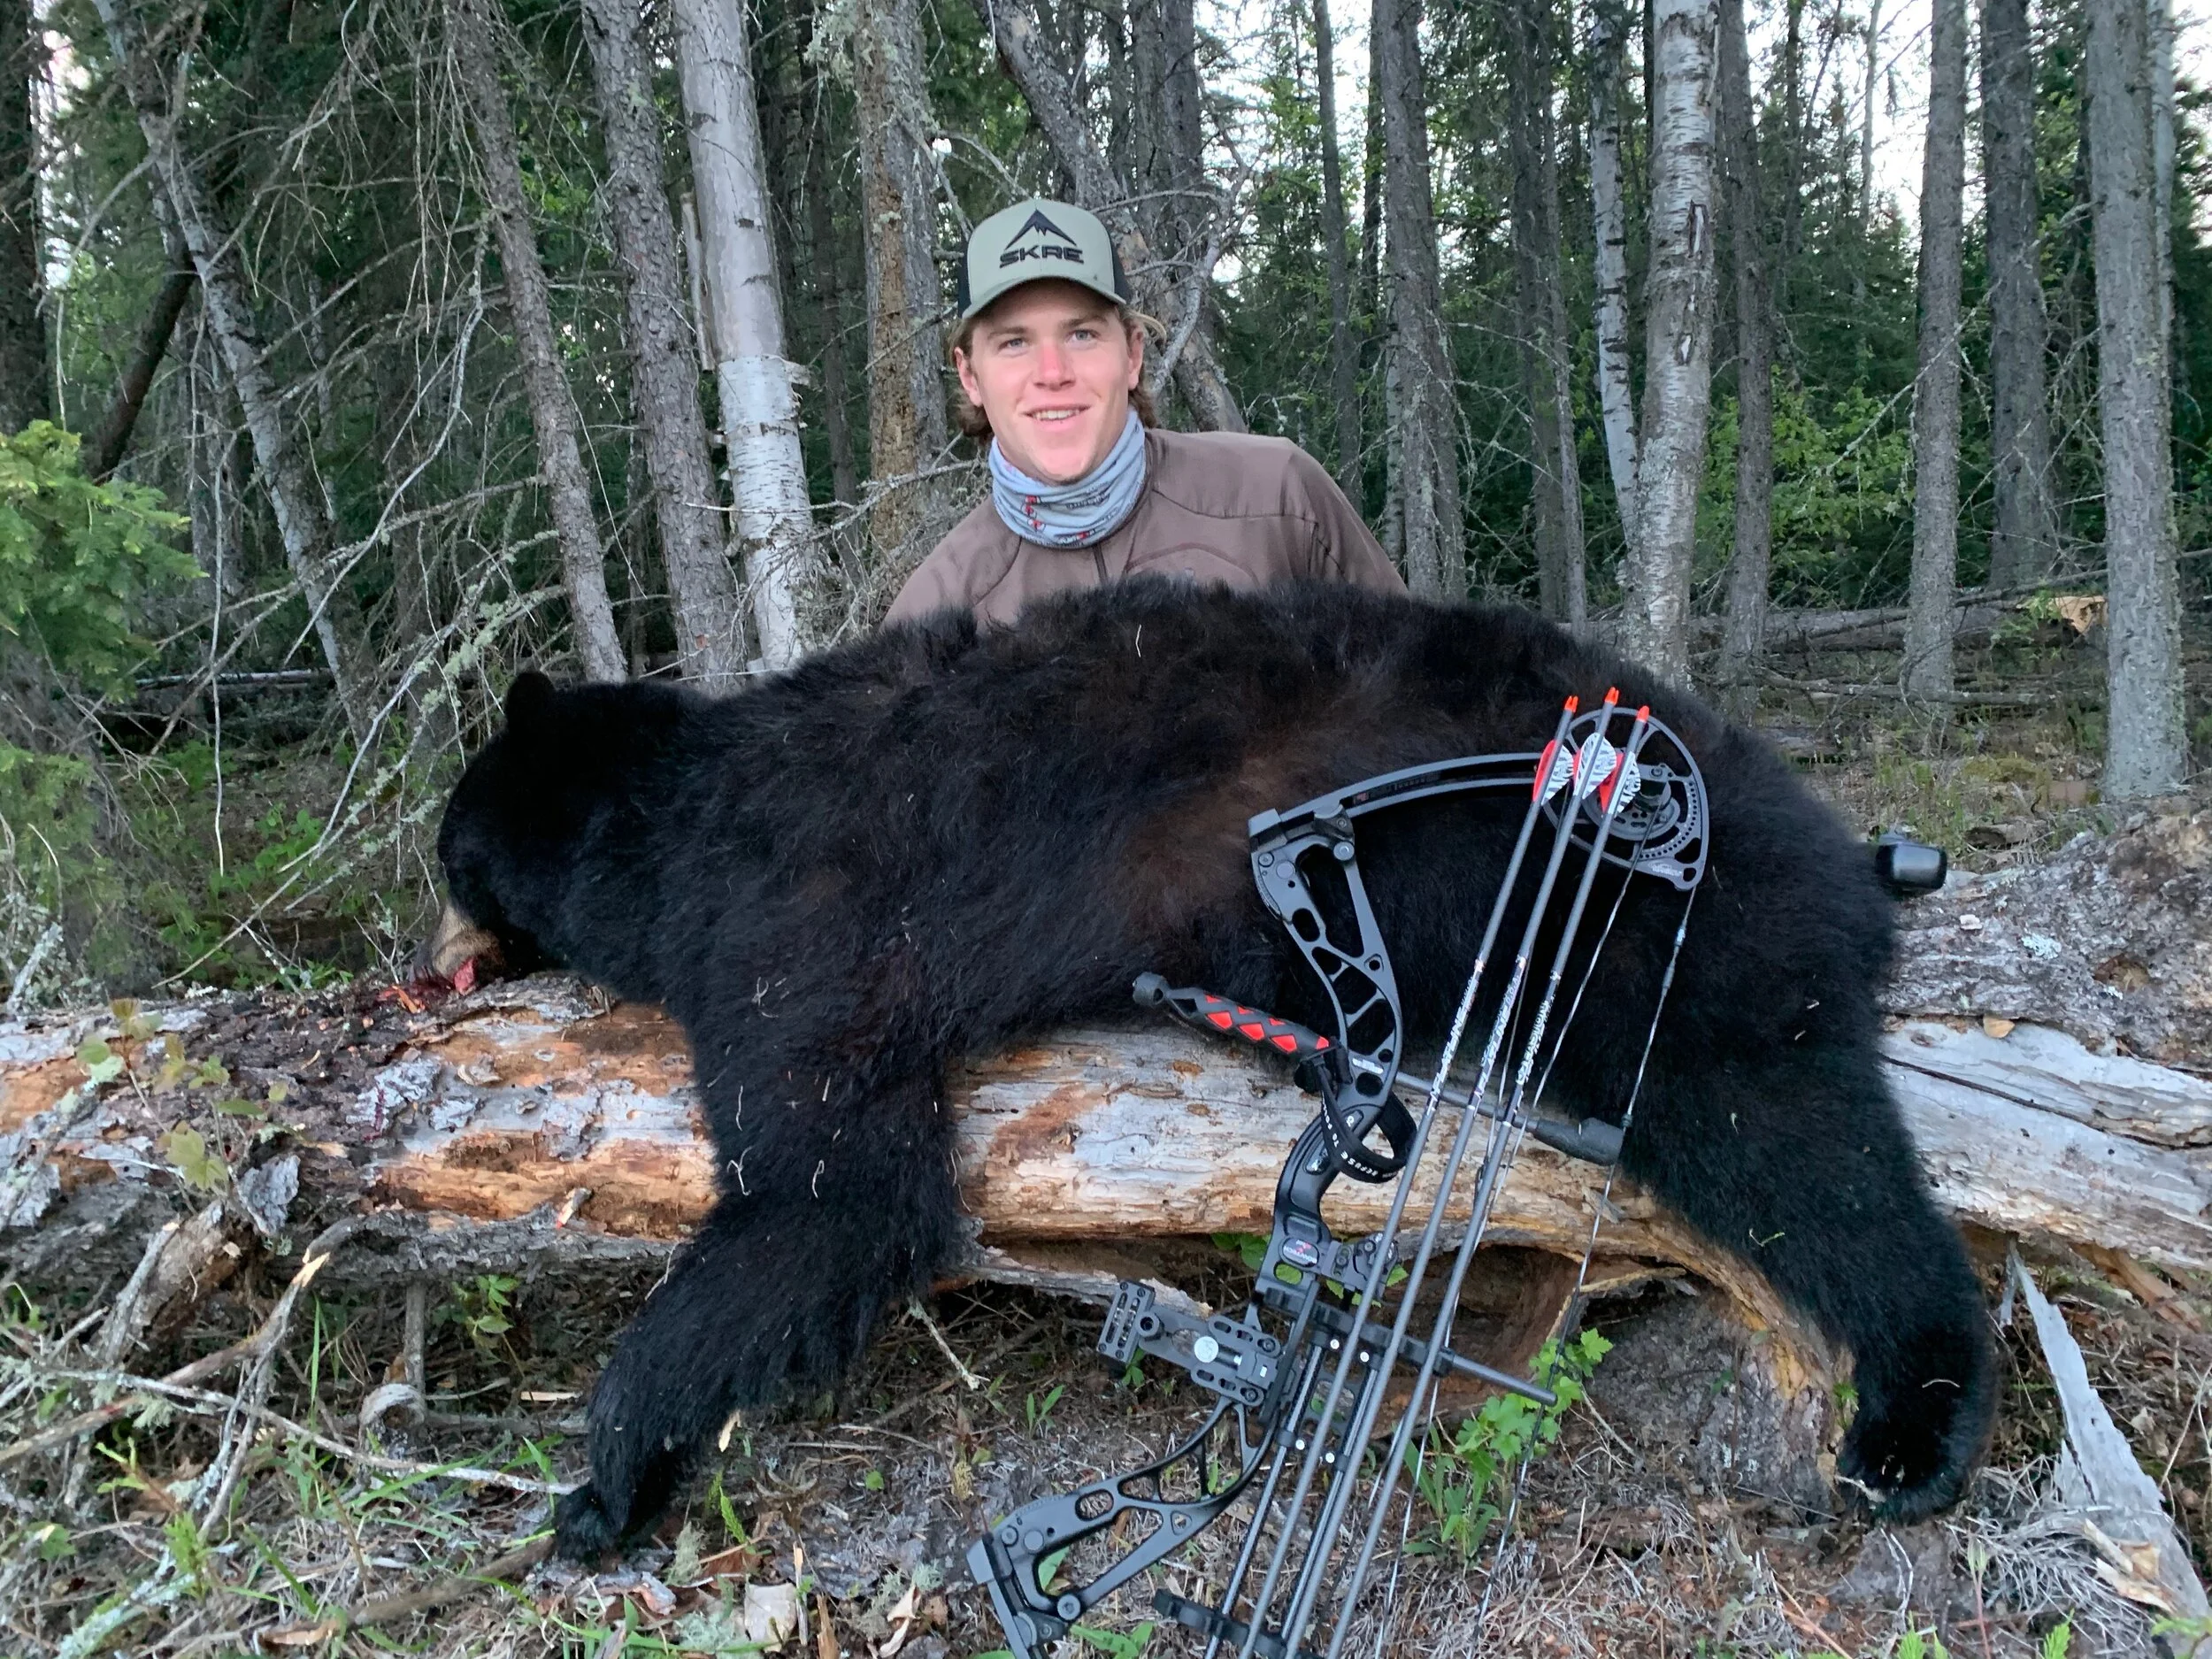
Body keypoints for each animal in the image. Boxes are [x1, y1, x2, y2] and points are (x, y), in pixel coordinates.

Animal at [423, 578, 1996, 1561]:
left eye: (448, 840)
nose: (431, 939)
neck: (676, 823)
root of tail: (1834, 836)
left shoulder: (796, 930)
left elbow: (827, 1199)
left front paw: (604, 1481)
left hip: (1658, 947)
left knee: (1807, 1151)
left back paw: (1914, 1425)